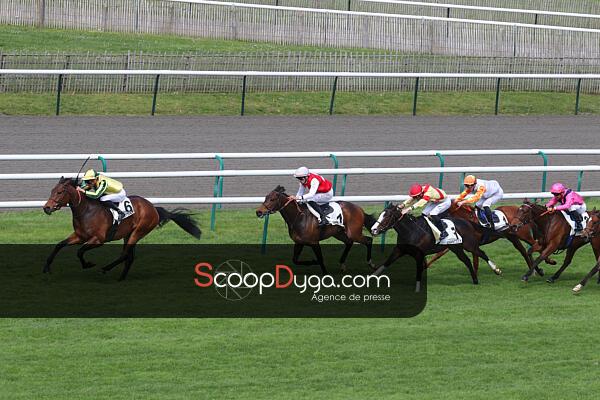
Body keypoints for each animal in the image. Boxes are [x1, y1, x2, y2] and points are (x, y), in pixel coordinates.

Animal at [42, 177, 202, 280]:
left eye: (60, 192)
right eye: (52, 190)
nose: (47, 208)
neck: (86, 211)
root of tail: (153, 208)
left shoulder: (98, 240)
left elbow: (80, 251)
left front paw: (88, 264)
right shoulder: (79, 236)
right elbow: (59, 245)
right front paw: (46, 268)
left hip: (139, 231)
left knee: (125, 254)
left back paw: (106, 268)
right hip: (128, 234)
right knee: (129, 257)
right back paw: (121, 277)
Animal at [370, 203, 500, 292]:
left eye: (387, 216)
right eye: (381, 214)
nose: (373, 229)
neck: (412, 231)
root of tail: (467, 222)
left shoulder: (419, 254)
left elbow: (419, 269)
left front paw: (417, 289)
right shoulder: (399, 250)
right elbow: (385, 264)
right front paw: (370, 278)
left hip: (469, 245)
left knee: (482, 253)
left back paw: (496, 270)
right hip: (456, 248)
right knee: (467, 260)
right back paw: (475, 280)